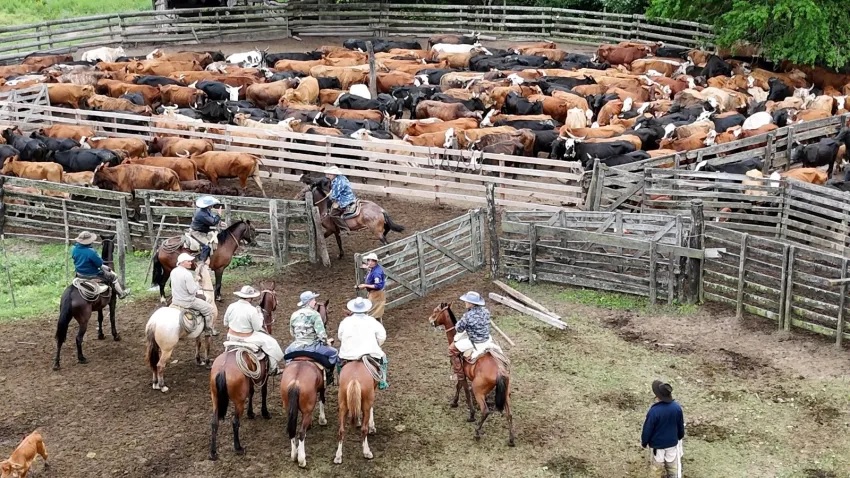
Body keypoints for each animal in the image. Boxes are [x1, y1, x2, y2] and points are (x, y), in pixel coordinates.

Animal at [53, 234, 120, 371]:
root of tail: (70, 294)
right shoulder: (112, 301)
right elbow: (112, 317)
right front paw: (115, 335)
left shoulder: (99, 306)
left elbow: (100, 318)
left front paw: (101, 335)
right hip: (83, 321)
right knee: (78, 338)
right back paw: (81, 358)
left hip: (65, 318)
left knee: (60, 338)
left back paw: (57, 363)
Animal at [144, 265, 216, 393]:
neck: (208, 297)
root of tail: (154, 322)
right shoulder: (209, 331)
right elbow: (207, 346)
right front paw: (208, 363)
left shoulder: (198, 333)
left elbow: (198, 344)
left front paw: (199, 360)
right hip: (167, 350)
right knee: (160, 365)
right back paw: (162, 386)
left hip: (156, 347)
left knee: (154, 364)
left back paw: (155, 383)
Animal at [208, 283, 280, 461]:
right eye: (275, 295)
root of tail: (222, 369)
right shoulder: (264, 376)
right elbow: (263, 392)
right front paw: (264, 412)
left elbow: (253, 392)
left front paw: (251, 413)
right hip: (238, 400)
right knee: (235, 422)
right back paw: (238, 447)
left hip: (215, 398)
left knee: (214, 422)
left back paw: (213, 452)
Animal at [281, 300, 330, 468]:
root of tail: (295, 382)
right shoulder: (322, 387)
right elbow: (322, 400)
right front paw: (322, 419)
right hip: (307, 409)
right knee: (301, 433)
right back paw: (302, 459)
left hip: (288, 406)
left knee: (292, 430)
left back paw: (293, 454)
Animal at [428, 302, 515, 446]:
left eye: (436, 311)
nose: (430, 320)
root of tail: (499, 371)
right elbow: (459, 386)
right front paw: (455, 402)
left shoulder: (460, 372)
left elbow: (462, 388)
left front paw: (470, 414)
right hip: (506, 394)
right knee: (509, 414)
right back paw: (511, 440)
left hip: (478, 390)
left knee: (485, 411)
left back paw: (477, 432)